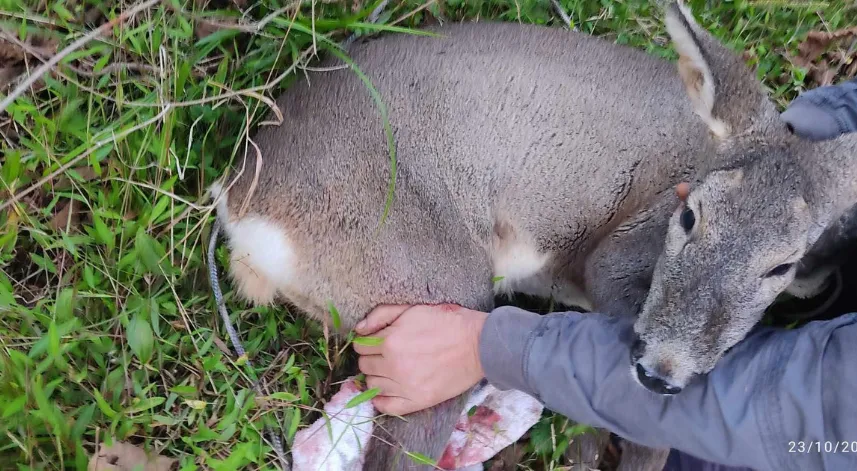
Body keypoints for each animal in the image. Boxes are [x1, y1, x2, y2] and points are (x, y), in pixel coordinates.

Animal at [207, 1, 856, 470]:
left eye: (780, 264)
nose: (661, 371)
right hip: (426, 283)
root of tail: (243, 209)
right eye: (690, 215)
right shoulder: (618, 254)